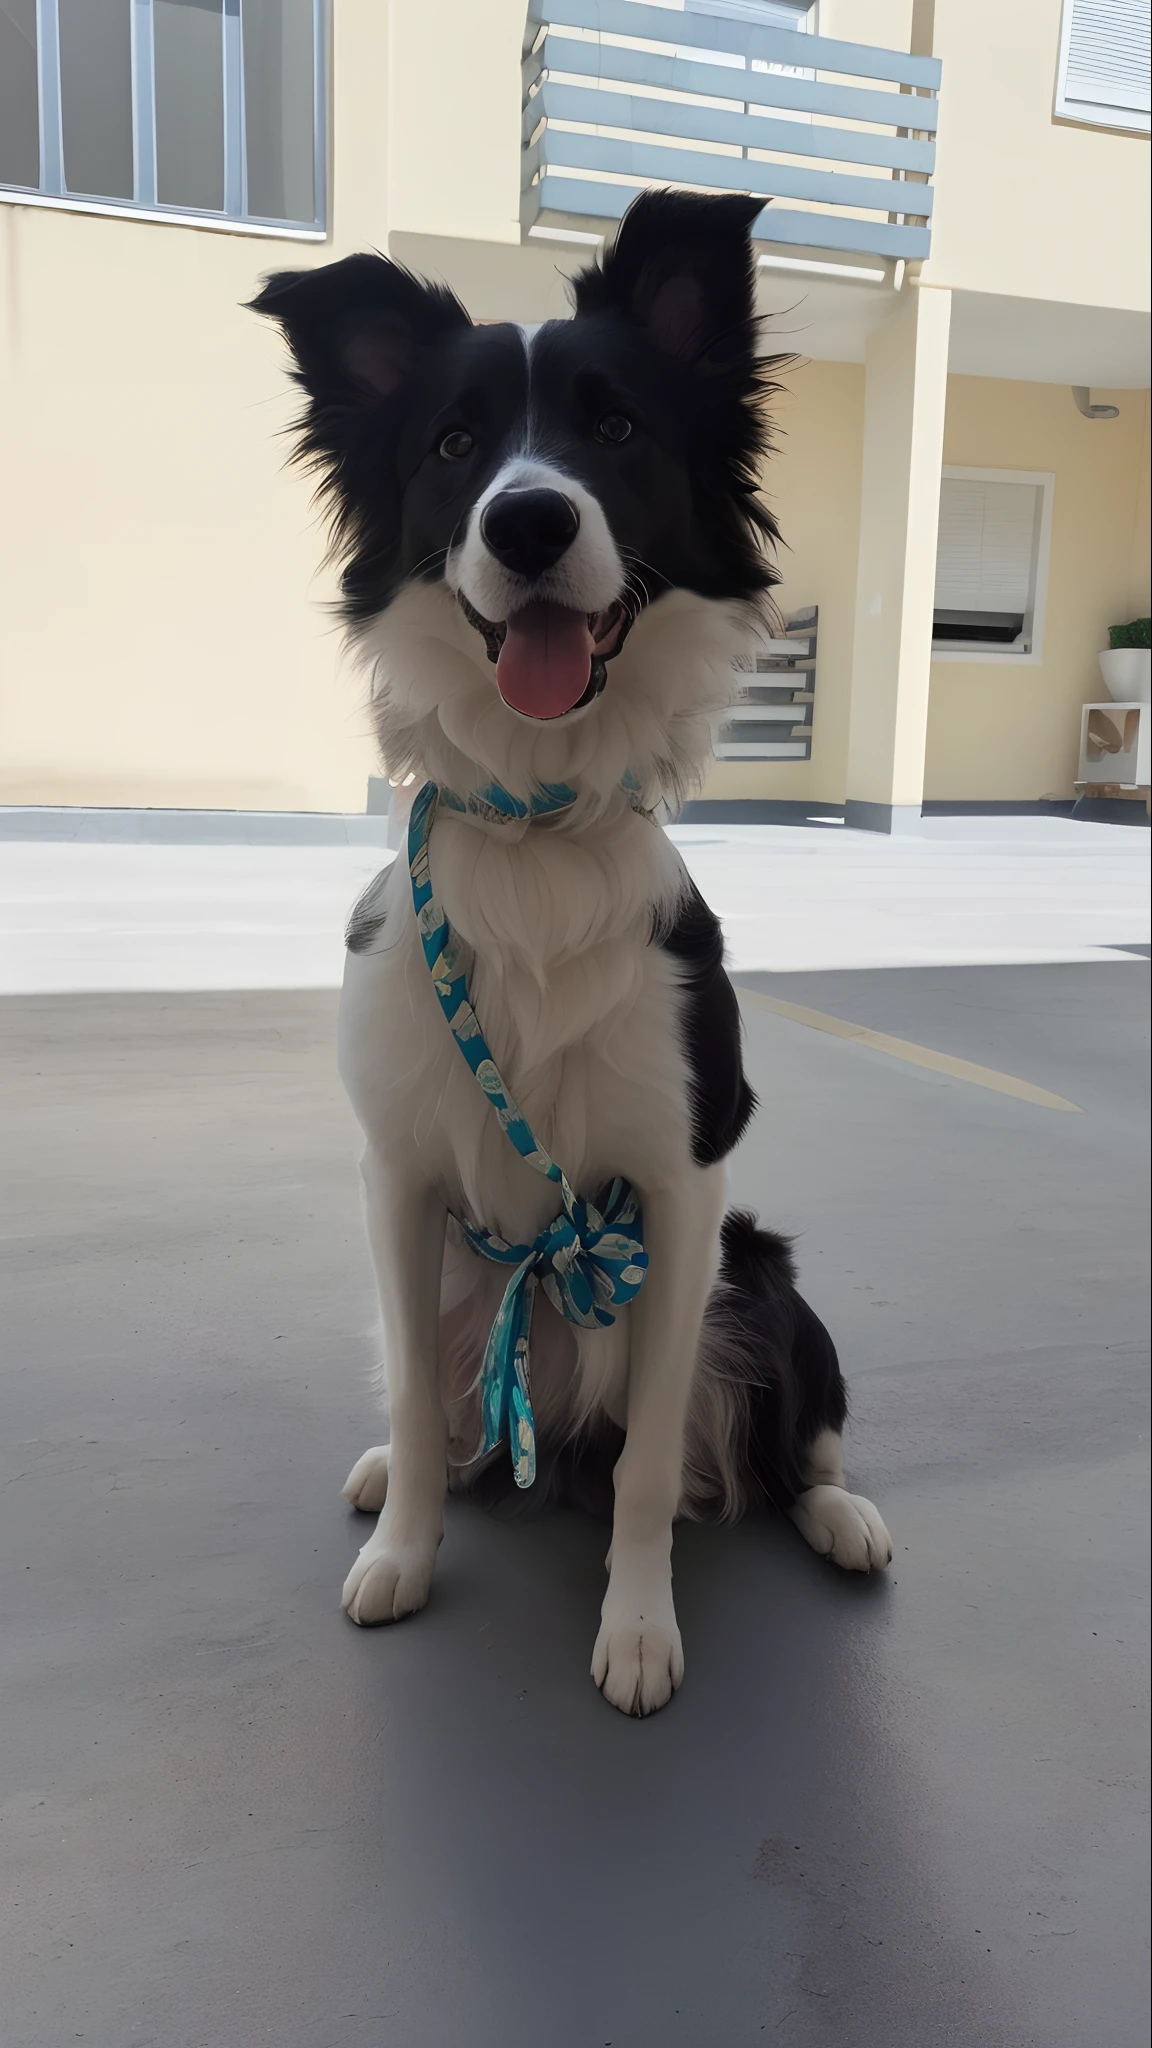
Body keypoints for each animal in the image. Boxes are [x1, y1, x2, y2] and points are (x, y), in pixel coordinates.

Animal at [251, 192, 889, 1720]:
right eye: (452, 446)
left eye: (614, 429)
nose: (529, 518)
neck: (535, 820)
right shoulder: (400, 1178)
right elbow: (416, 1395)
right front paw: (406, 1547)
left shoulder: (677, 1190)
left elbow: (654, 1464)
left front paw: (641, 1628)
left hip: (761, 1274)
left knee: (797, 1440)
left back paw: (843, 1515)